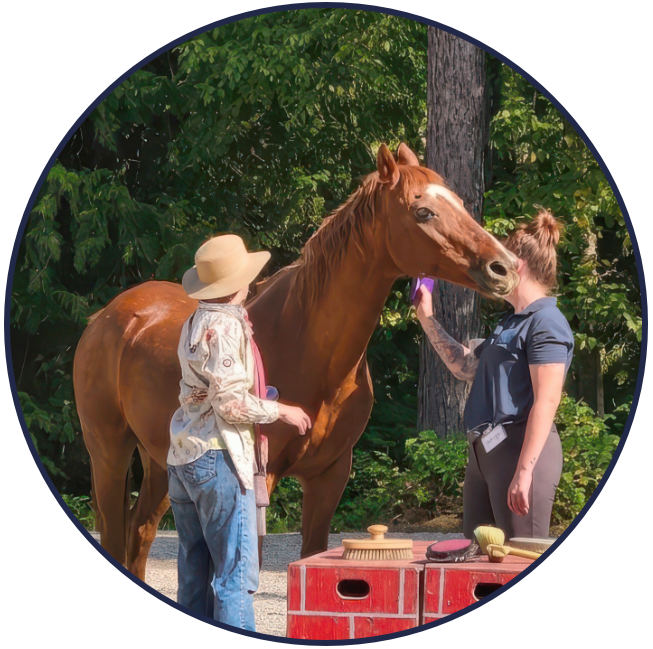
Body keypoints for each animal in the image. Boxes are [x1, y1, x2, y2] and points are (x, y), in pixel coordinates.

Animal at [73, 143, 519, 579]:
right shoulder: (261, 480)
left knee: (140, 533)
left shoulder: (328, 477)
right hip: (109, 454)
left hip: (162, 461)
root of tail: (106, 318)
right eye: (422, 211)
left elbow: (313, 553)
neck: (308, 347)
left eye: (458, 203)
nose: (506, 267)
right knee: (116, 532)